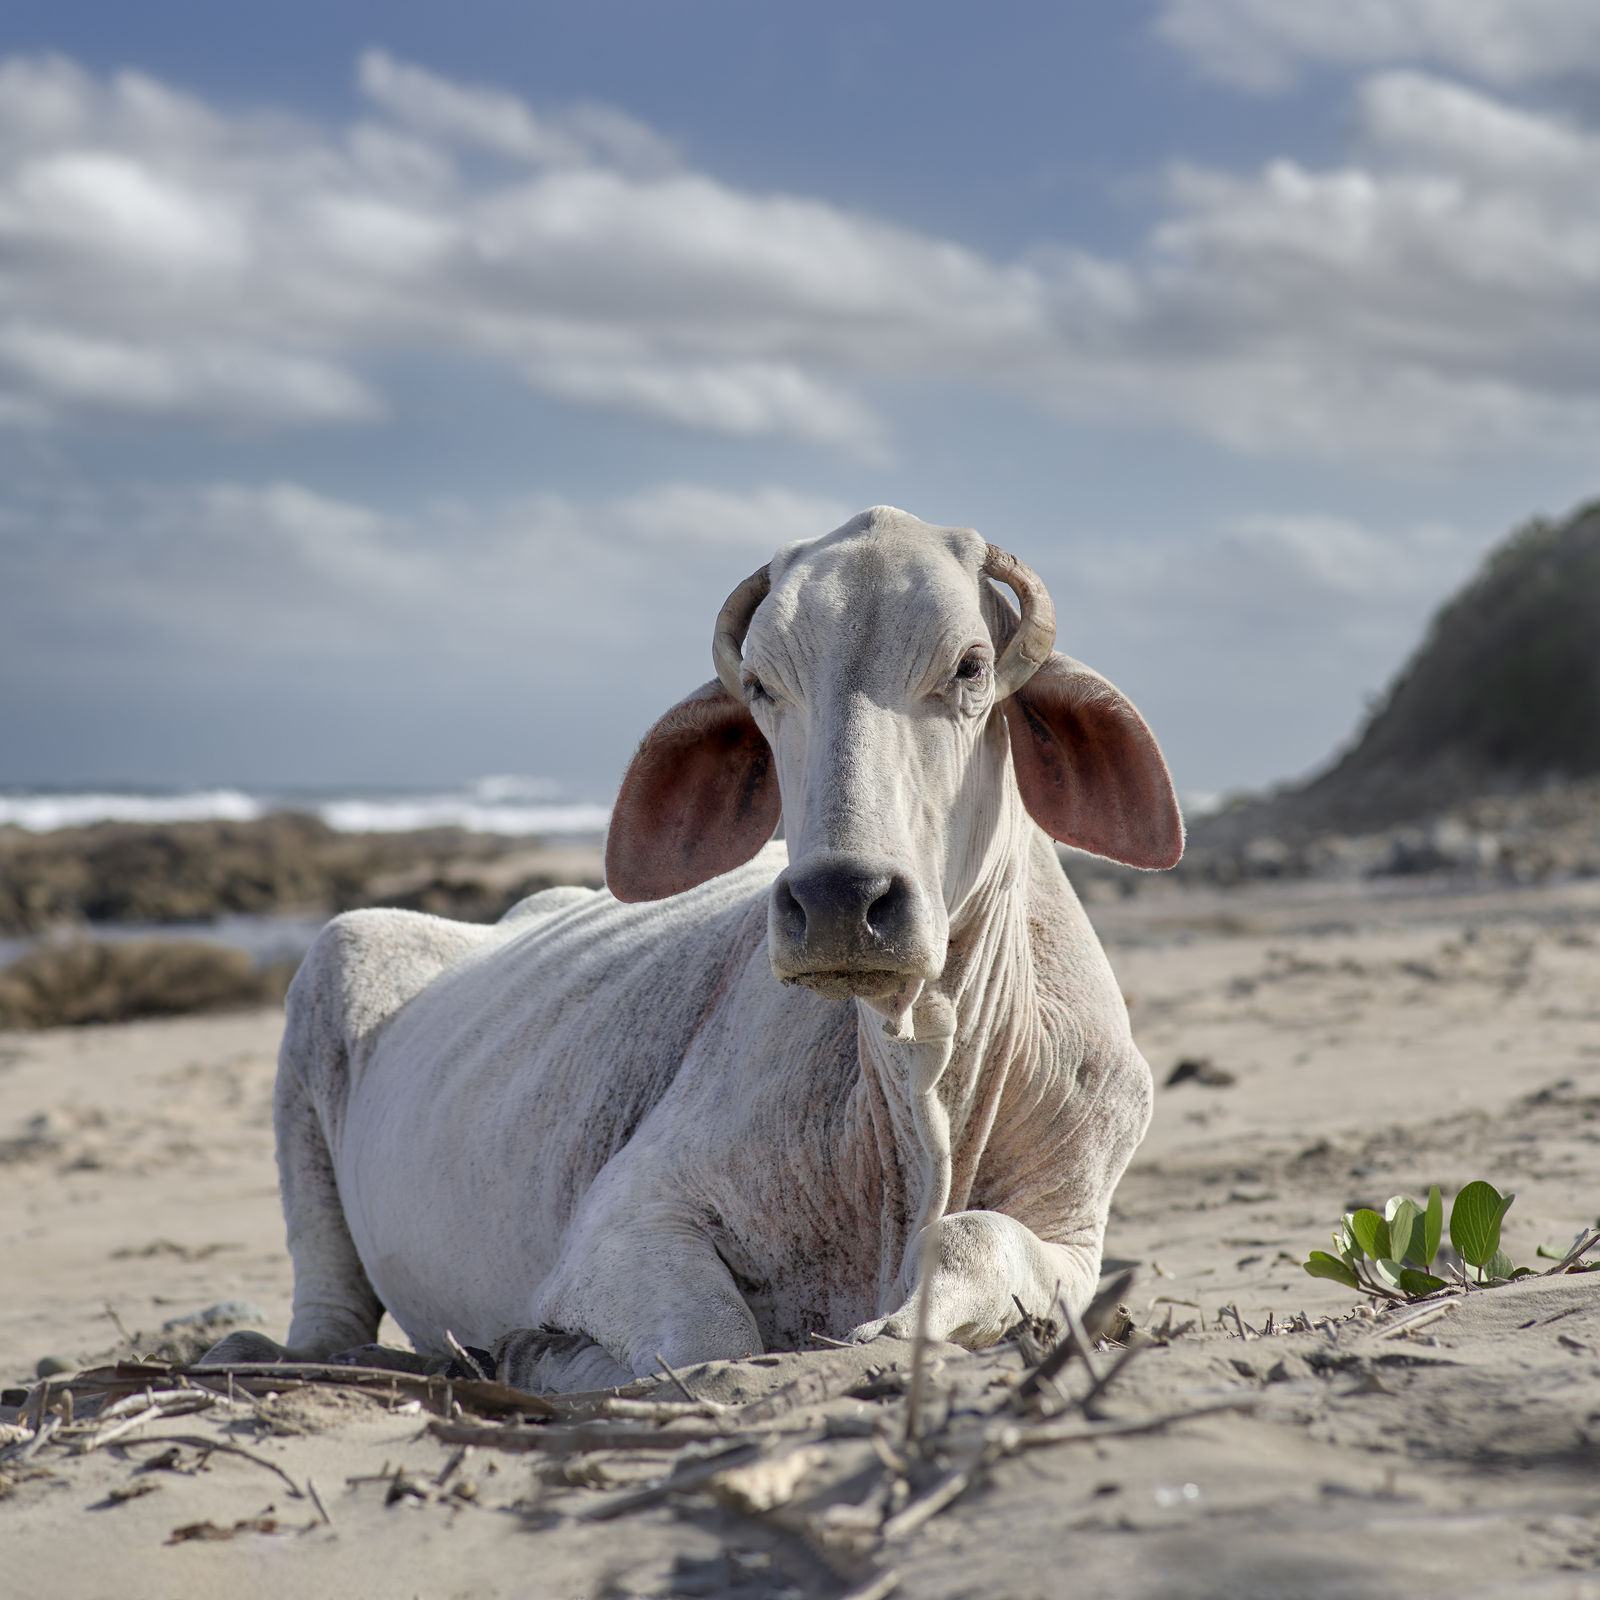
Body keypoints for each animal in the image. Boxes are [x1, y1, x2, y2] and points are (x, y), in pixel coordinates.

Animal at [203, 506, 1183, 1393]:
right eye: (760, 684)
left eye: (971, 666)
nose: (840, 901)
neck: (926, 1080)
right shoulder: (624, 1224)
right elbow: (713, 1344)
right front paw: (544, 1354)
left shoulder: (1076, 1223)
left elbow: (981, 1241)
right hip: (330, 972)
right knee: (328, 1312)